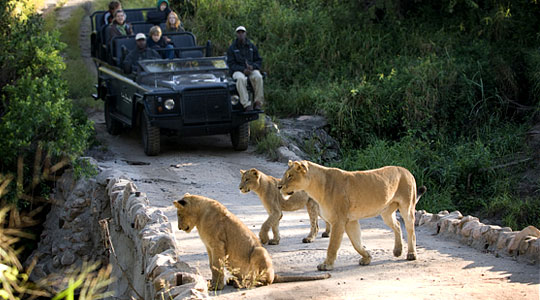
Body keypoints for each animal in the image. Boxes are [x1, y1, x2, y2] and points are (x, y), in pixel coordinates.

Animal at [174, 193, 330, 290]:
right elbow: (212, 266)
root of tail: (275, 274)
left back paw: (242, 284)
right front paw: (212, 283)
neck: (200, 215)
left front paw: (217, 287)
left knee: (263, 281)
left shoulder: (217, 245)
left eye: (179, 214)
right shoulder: (209, 247)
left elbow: (217, 266)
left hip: (259, 251)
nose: (179, 227)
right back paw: (235, 281)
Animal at [278, 161, 426, 270]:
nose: (279, 186)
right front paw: (367, 257)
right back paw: (397, 251)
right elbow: (356, 243)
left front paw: (326, 265)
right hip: (386, 212)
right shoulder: (350, 221)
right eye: (285, 175)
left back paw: (411, 254)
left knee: (410, 230)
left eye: (290, 175)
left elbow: (332, 245)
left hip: (407, 207)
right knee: (397, 225)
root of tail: (407, 171)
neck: (316, 187)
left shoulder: (338, 221)